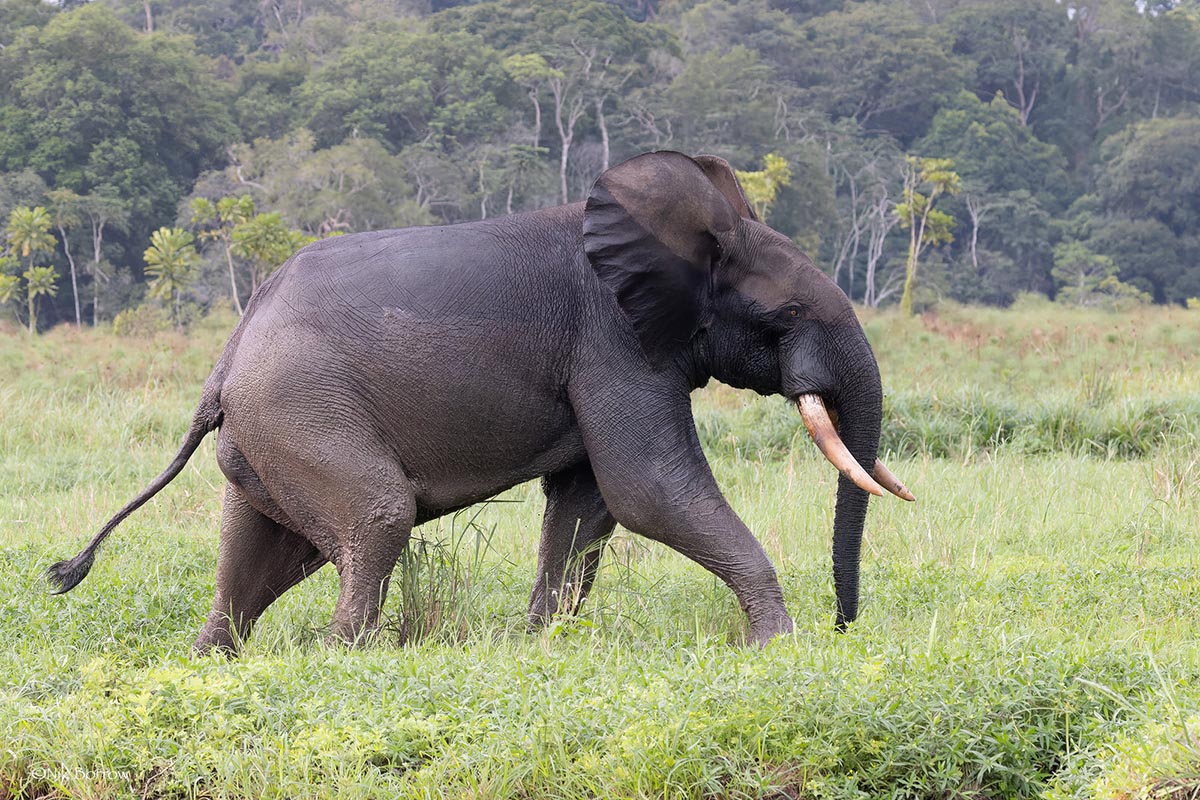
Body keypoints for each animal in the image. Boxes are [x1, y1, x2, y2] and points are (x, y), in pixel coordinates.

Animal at [42, 151, 912, 657]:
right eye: (786, 316)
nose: (844, 627)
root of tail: (224, 361)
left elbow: (587, 504)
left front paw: (541, 645)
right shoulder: (615, 342)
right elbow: (647, 488)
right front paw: (777, 647)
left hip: (266, 431)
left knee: (257, 545)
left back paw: (216, 660)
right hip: (301, 410)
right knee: (378, 515)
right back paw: (345, 655)